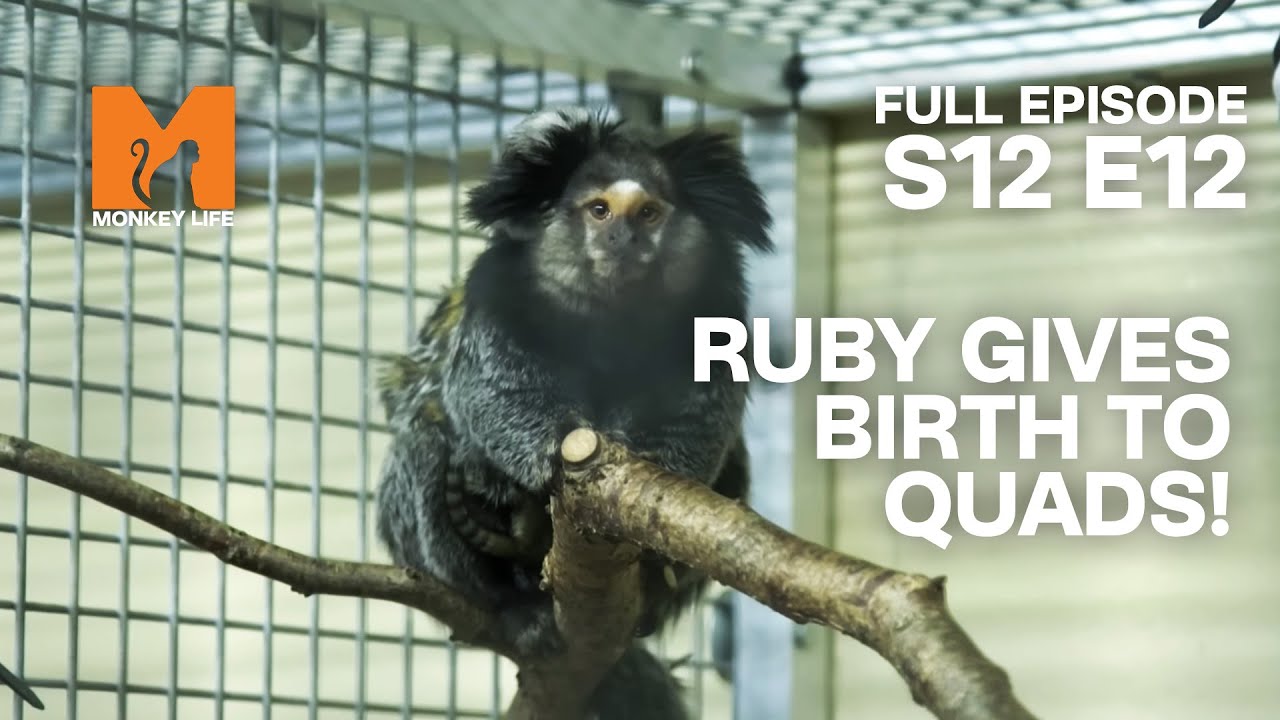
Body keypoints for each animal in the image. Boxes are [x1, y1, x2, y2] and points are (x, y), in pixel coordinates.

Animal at [374, 106, 772, 718]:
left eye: (649, 213)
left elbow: (700, 410)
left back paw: (652, 588)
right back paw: (511, 604)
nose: (622, 238)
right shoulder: (497, 293)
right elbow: (486, 387)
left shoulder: (716, 303)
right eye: (599, 209)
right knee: (423, 439)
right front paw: (546, 467)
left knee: (735, 469)